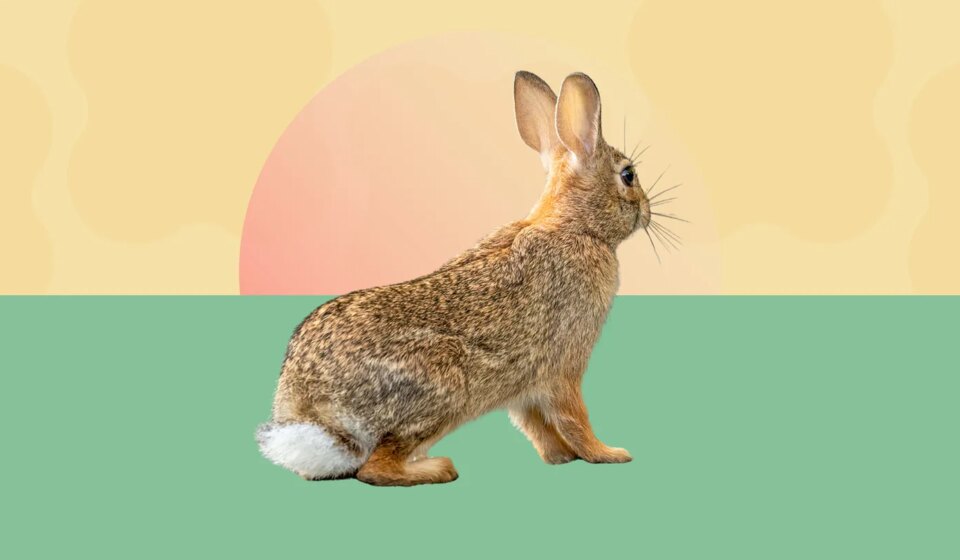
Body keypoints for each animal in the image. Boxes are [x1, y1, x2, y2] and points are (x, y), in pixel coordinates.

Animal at [256, 71, 652, 486]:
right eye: (628, 175)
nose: (648, 210)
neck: (577, 225)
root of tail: (308, 413)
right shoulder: (564, 367)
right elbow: (574, 417)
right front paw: (609, 454)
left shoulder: (523, 388)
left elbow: (535, 424)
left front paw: (560, 457)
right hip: (446, 382)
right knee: (375, 467)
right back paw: (437, 468)